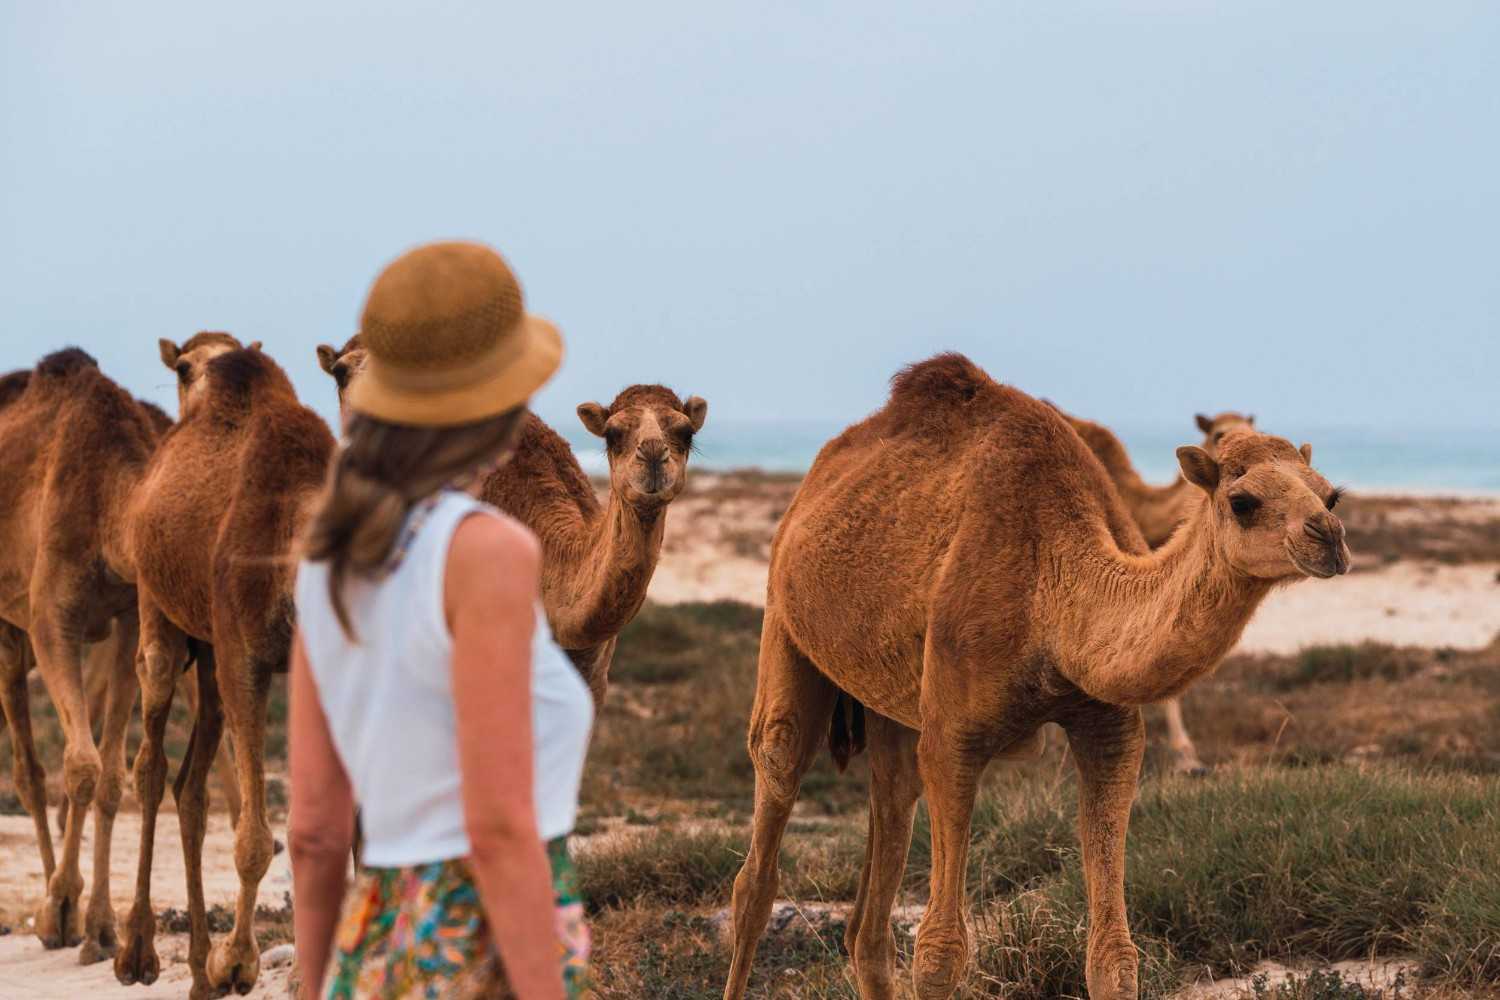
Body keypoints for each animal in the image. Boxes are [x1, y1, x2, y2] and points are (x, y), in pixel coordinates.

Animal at [0, 351, 162, 964]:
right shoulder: (52, 620)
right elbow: (82, 766)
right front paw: (60, 910)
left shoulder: (129, 619)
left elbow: (111, 777)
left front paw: (100, 925)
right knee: (28, 769)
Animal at [117, 345, 334, 998]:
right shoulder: (245, 653)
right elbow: (256, 837)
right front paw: (238, 961)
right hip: (158, 608)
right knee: (152, 764)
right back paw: (139, 953)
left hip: (207, 645)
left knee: (191, 786)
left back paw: (195, 970)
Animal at [723, 355, 1349, 1000]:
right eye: (1242, 500)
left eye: (1332, 494)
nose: (1328, 537)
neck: (1052, 594)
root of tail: (814, 481)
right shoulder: (954, 736)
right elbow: (939, 953)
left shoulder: (1109, 729)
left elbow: (1114, 957)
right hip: (784, 621)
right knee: (764, 835)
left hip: (890, 702)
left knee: (878, 866)